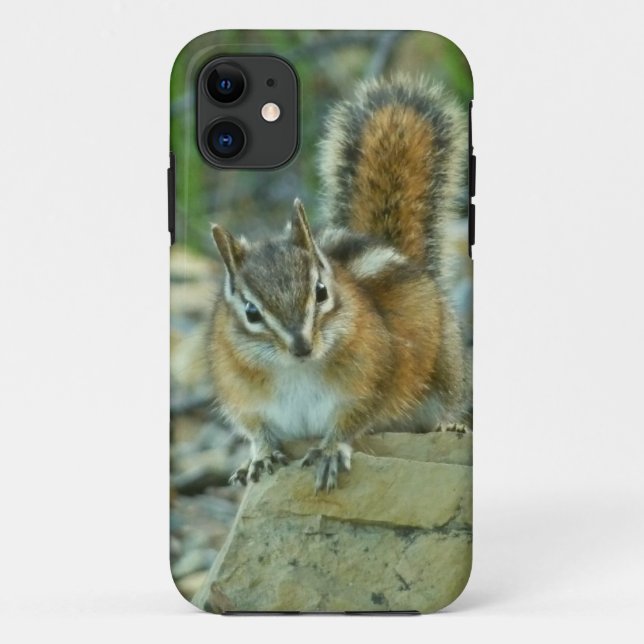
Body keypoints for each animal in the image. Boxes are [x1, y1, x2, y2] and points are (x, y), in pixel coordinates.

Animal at [208, 76, 471, 492]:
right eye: (250, 311)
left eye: (320, 292)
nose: (301, 346)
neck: (295, 371)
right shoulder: (242, 396)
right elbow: (256, 430)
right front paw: (260, 456)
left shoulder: (370, 381)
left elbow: (352, 420)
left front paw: (331, 449)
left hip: (445, 367)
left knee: (448, 402)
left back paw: (449, 424)